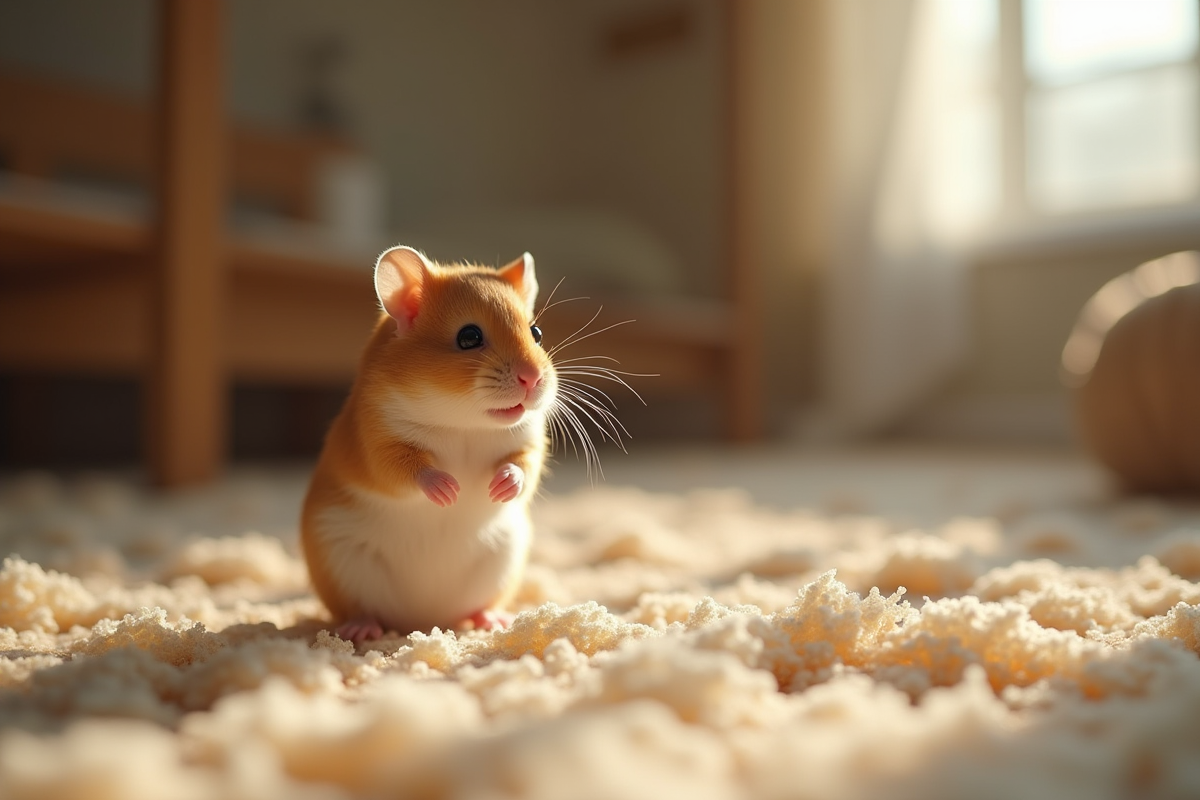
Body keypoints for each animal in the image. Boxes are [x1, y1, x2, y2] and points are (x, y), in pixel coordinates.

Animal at [301, 245, 556, 645]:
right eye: (469, 337)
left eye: (537, 332)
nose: (532, 379)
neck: (465, 423)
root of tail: (424, 620)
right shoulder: (376, 441)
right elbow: (407, 470)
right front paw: (449, 491)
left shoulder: (530, 444)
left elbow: (522, 468)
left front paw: (499, 487)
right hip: (342, 564)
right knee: (360, 610)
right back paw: (362, 629)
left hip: (502, 559)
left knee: (477, 607)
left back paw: (493, 621)